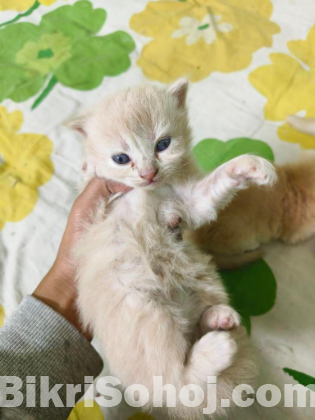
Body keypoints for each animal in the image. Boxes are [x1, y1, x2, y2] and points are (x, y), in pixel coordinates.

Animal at [69, 80, 276, 418]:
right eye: (121, 158)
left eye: (163, 145)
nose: (148, 173)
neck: (152, 192)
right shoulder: (99, 201)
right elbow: (92, 180)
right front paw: (89, 165)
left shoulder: (189, 204)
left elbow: (215, 183)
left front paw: (252, 165)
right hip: (146, 311)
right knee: (175, 381)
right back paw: (218, 348)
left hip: (204, 277)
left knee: (192, 340)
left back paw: (218, 319)